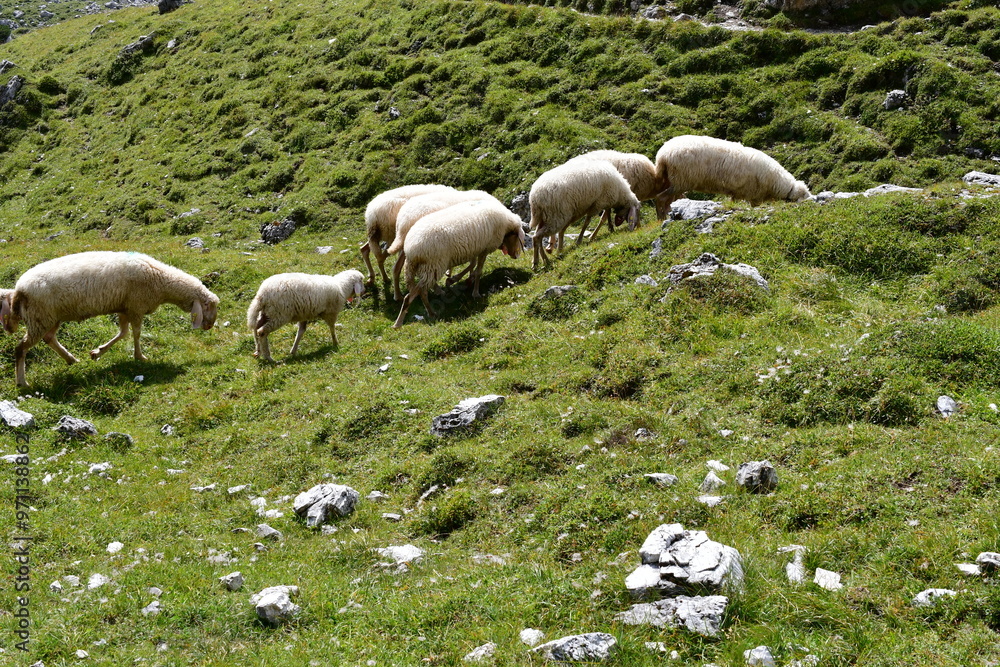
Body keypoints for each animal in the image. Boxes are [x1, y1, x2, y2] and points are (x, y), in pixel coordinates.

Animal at [6, 251, 219, 388]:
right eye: (208, 306)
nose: (209, 326)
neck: (161, 281)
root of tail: (19, 290)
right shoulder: (136, 307)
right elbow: (136, 333)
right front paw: (140, 357)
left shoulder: (124, 307)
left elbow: (123, 333)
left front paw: (97, 352)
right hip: (39, 318)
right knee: (21, 348)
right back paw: (22, 382)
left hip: (49, 317)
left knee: (49, 338)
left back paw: (71, 359)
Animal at [393, 200, 525, 328]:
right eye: (517, 238)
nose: (516, 256)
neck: (506, 224)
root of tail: (410, 249)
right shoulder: (484, 249)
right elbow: (478, 271)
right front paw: (475, 293)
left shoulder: (474, 248)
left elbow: (472, 265)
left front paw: (456, 280)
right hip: (433, 266)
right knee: (418, 293)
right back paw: (402, 321)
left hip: (418, 268)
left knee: (420, 291)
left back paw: (427, 312)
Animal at [654, 135, 811, 214]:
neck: (777, 183)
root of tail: (662, 156)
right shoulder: (753, 194)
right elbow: (753, 206)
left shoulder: (737, 192)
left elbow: (733, 201)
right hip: (681, 180)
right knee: (660, 198)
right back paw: (662, 217)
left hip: (674, 181)